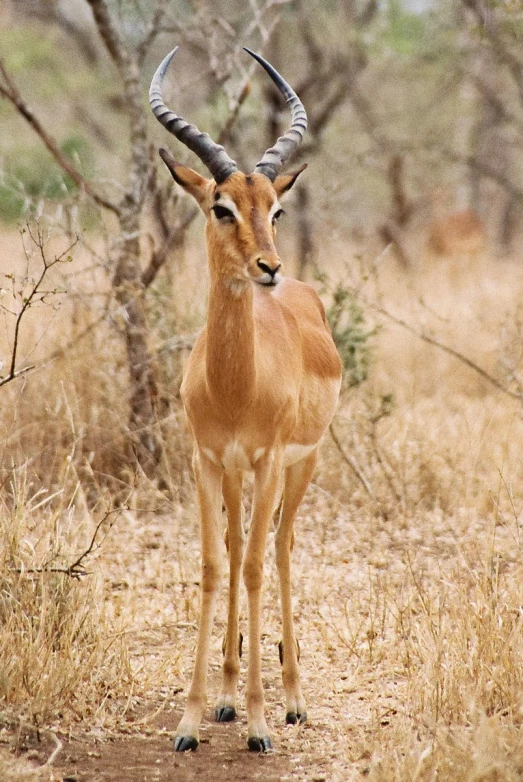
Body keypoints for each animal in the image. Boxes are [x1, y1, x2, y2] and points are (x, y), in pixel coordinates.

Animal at [149, 47, 342, 752]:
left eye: (274, 208)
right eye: (221, 206)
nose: (268, 267)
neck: (234, 385)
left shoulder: (267, 460)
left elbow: (257, 565)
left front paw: (261, 723)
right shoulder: (207, 460)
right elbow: (213, 564)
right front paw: (192, 720)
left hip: (301, 466)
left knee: (279, 548)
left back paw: (291, 700)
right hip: (237, 476)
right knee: (235, 548)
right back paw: (229, 696)